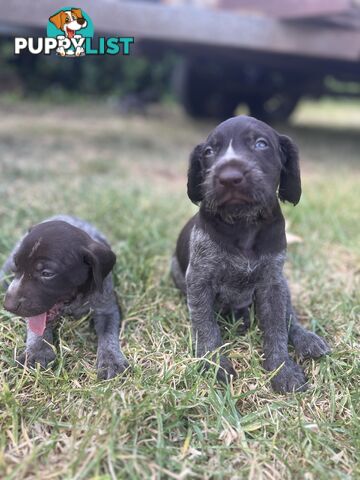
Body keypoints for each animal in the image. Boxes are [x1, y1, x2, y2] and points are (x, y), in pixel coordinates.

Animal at [0, 215, 128, 378]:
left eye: (47, 274)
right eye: (16, 266)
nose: (8, 305)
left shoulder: (107, 308)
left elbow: (108, 334)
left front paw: (110, 360)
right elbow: (37, 330)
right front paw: (37, 352)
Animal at [170, 116, 330, 394]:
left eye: (261, 144)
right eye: (209, 152)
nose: (229, 177)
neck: (242, 223)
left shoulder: (272, 283)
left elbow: (277, 327)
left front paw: (281, 368)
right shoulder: (198, 280)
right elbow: (205, 326)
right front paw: (214, 364)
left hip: (283, 284)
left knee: (289, 317)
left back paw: (305, 338)